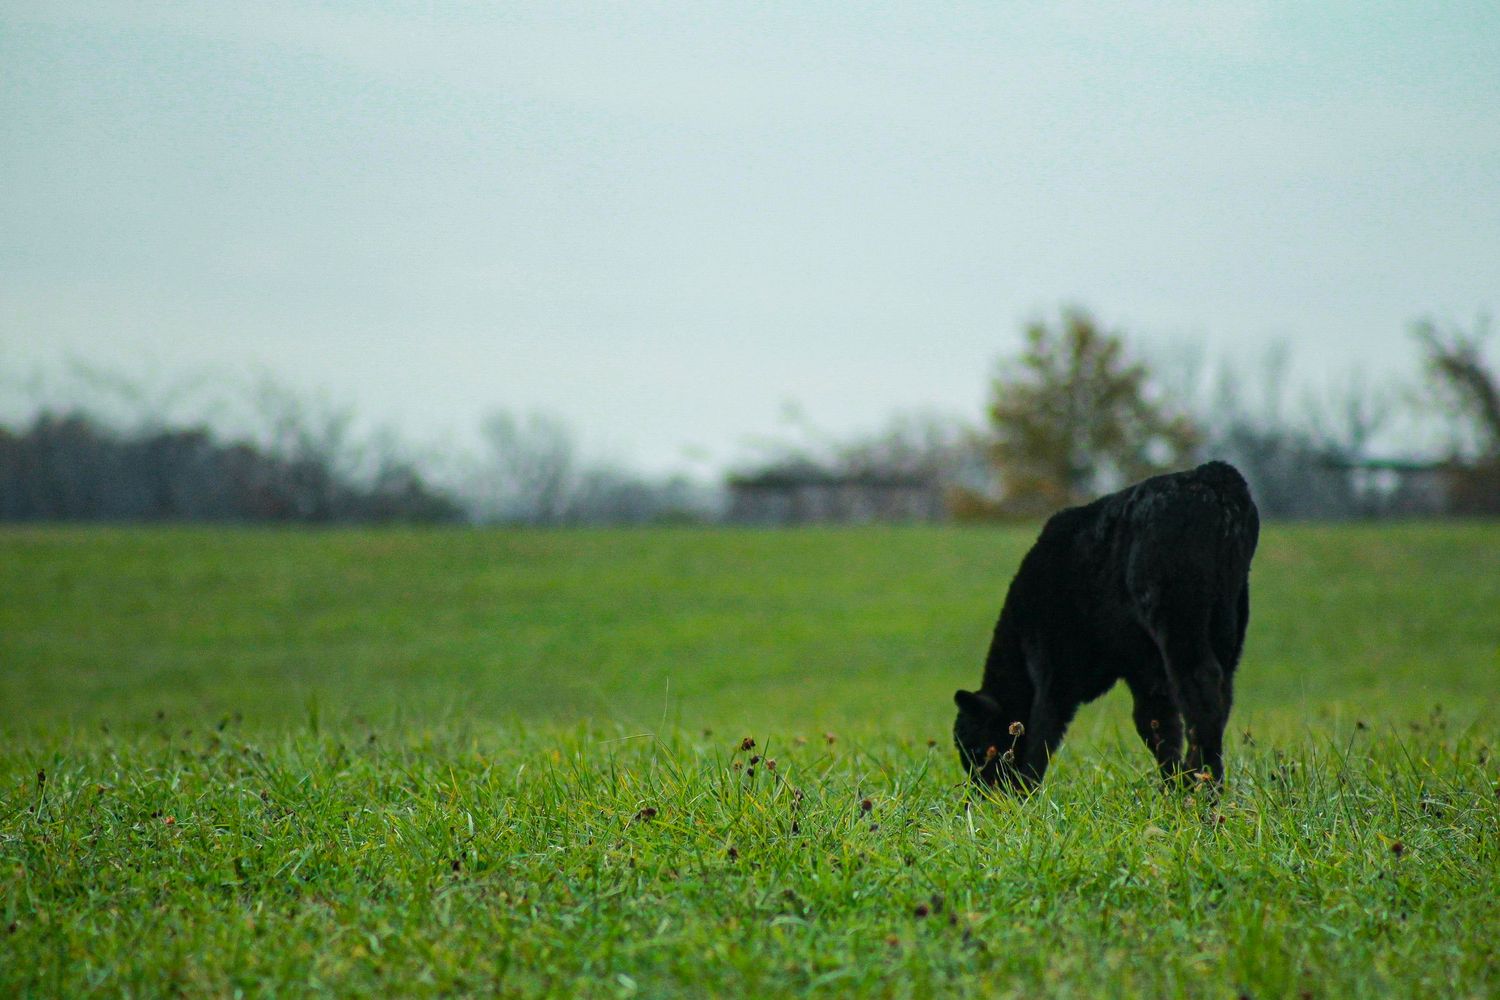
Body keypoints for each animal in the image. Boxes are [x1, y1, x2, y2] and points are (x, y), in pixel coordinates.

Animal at [953, 460, 1259, 792]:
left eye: (974, 746)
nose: (981, 793)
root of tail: (1212, 475)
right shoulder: (1144, 671)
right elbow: (1156, 725)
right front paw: (1172, 785)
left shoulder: (1054, 667)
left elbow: (1042, 729)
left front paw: (1025, 791)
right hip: (1230, 618)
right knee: (1222, 692)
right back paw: (1205, 781)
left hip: (1177, 616)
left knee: (1200, 683)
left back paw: (1203, 784)